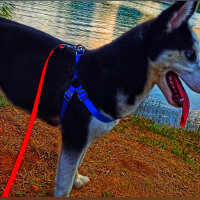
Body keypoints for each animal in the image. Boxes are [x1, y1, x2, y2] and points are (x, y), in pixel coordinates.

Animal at [0, 0, 199, 197]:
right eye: (190, 55)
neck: (110, 75)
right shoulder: (75, 137)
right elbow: (63, 187)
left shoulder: (84, 139)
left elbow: (77, 164)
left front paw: (77, 179)